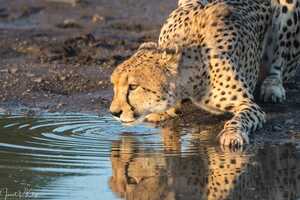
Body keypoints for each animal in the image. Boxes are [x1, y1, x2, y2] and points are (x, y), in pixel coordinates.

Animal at [109, 0, 300, 147]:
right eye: (114, 85)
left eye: (133, 86)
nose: (114, 113)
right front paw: (163, 112)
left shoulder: (249, 105)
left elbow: (239, 119)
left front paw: (232, 135)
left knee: (278, 64)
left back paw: (272, 87)